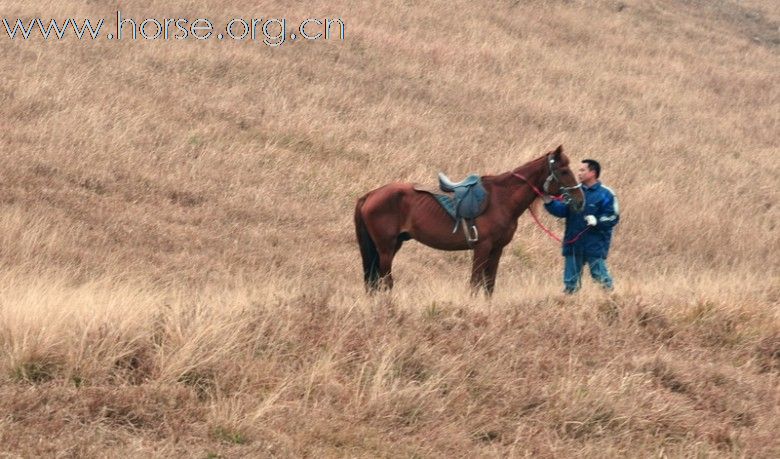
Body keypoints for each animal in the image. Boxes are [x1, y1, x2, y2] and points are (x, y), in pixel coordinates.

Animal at [354, 146, 584, 294]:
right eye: (564, 171)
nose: (580, 200)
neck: (501, 199)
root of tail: (371, 195)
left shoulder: (497, 249)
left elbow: (489, 284)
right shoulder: (482, 247)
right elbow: (475, 283)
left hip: (392, 245)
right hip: (386, 247)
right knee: (384, 280)